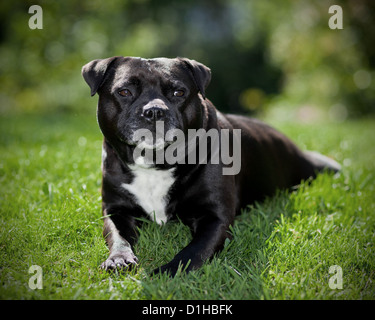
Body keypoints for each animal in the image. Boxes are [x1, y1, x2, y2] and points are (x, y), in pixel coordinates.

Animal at [81, 56, 340, 276]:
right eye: (124, 91)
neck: (156, 162)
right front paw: (118, 258)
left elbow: (194, 251)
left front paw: (169, 272)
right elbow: (118, 235)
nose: (154, 111)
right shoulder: (115, 209)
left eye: (179, 92)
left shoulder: (215, 218)